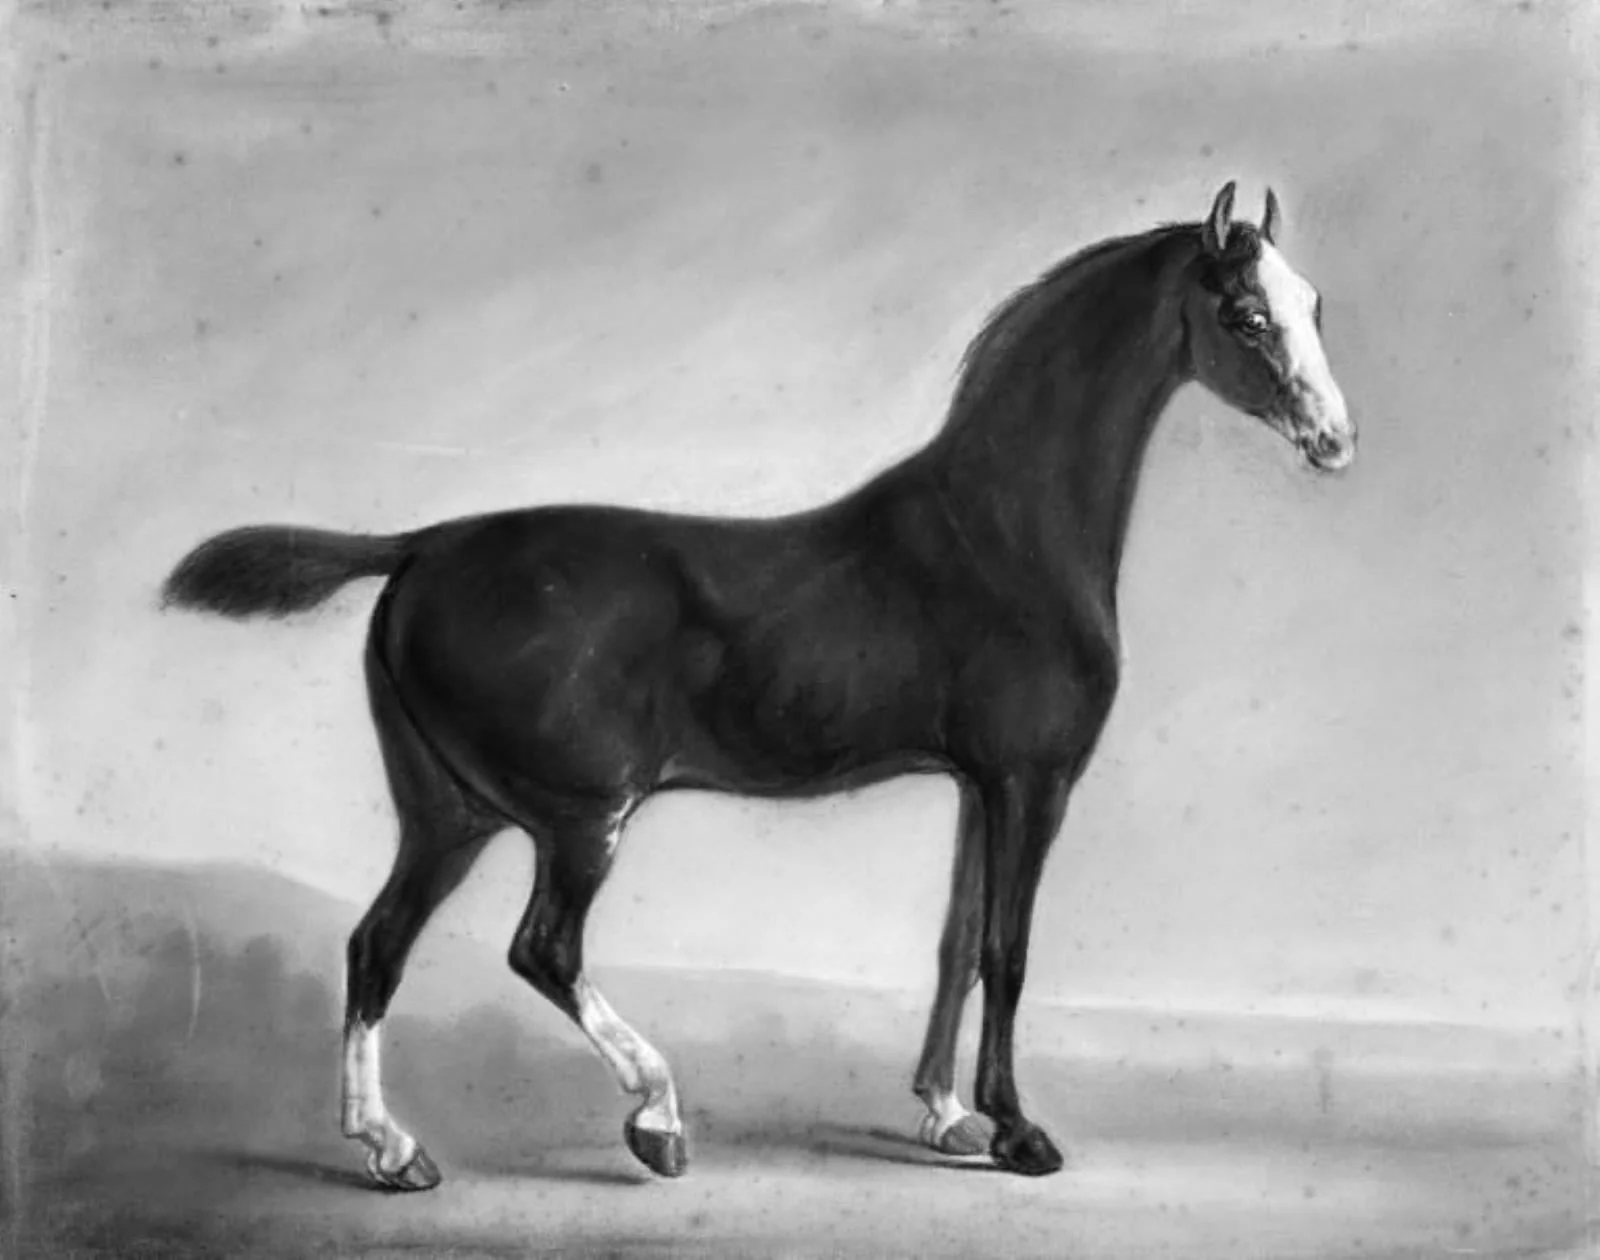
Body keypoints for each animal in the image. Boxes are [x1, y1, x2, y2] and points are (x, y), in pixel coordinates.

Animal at [160, 181, 1353, 1191]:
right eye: (1246, 315)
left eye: (1312, 305)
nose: (1335, 442)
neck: (1002, 536)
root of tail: (422, 549)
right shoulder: (1033, 781)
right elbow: (1007, 952)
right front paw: (1020, 1134)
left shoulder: (976, 784)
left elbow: (955, 944)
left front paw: (946, 1117)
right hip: (577, 819)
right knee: (540, 949)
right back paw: (655, 1121)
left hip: (449, 813)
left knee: (376, 947)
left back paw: (395, 1150)